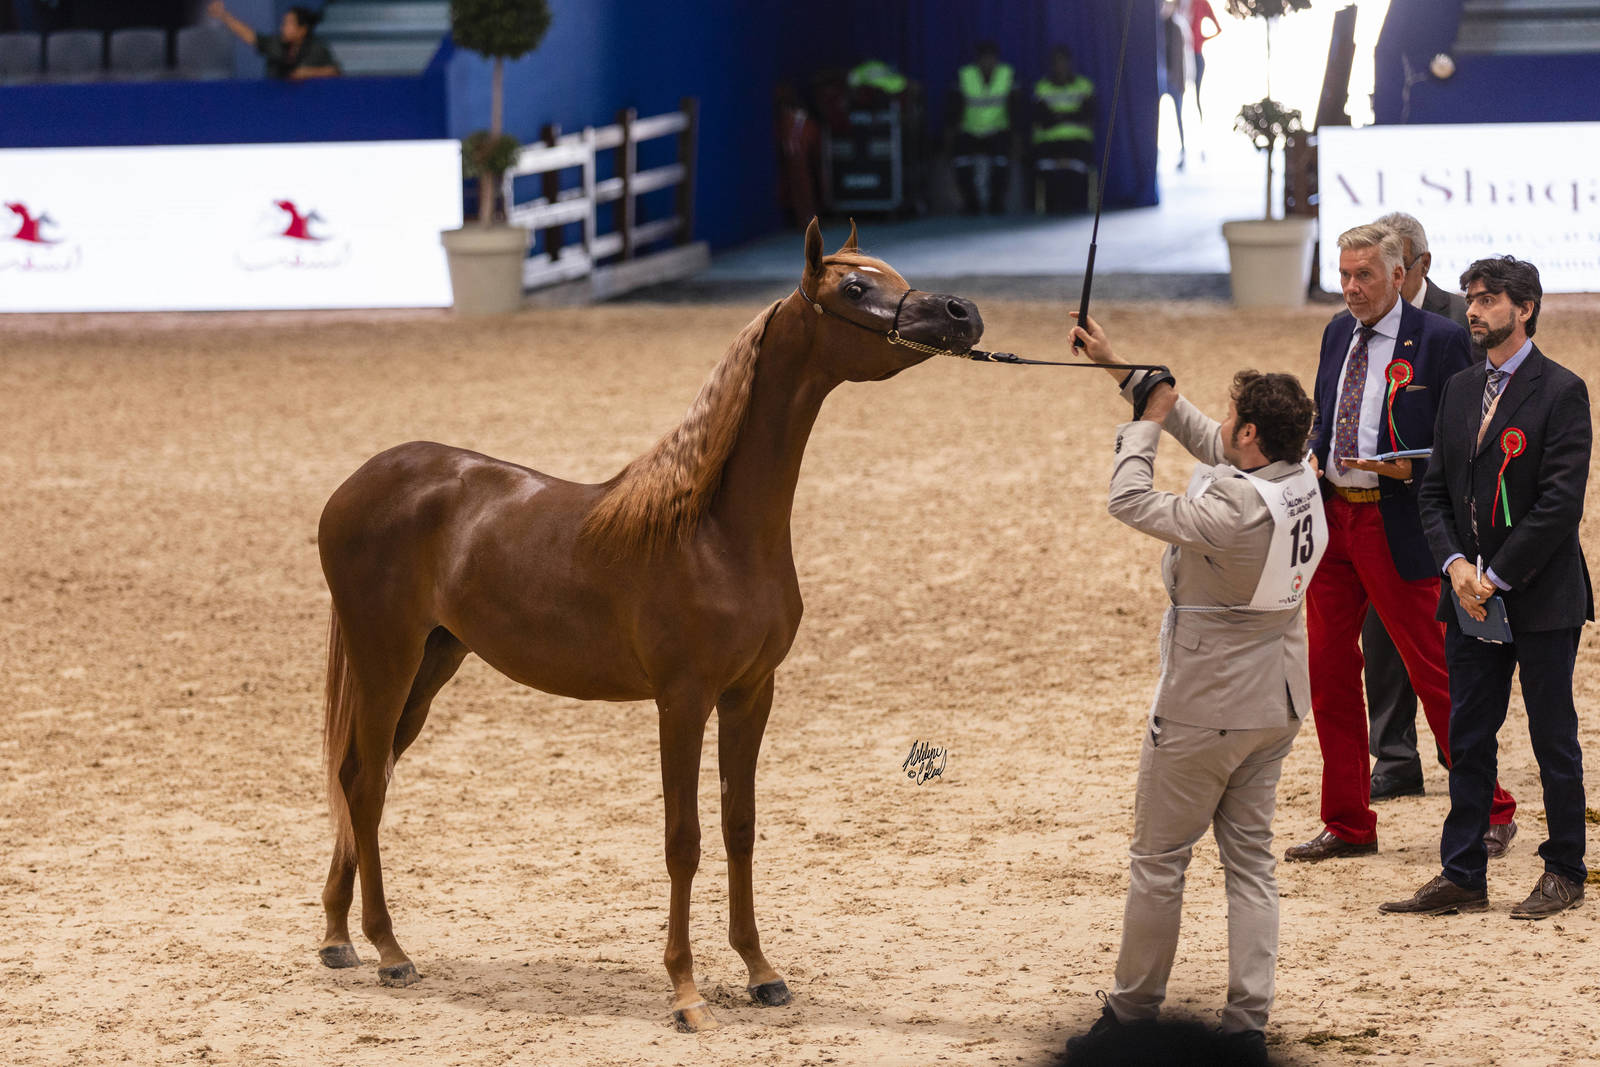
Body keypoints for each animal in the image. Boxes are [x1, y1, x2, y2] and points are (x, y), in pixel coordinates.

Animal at [315, 217, 983, 1032]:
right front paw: (686, 992)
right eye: (854, 287)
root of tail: (357, 485)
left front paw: (761, 970)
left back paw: (340, 938)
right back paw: (388, 950)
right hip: (387, 656)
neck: (715, 533)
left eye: (894, 275)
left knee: (363, 776)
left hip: (432, 663)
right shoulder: (682, 700)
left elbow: (738, 826)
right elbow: (683, 840)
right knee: (363, 783)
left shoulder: (752, 694)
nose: (960, 313)